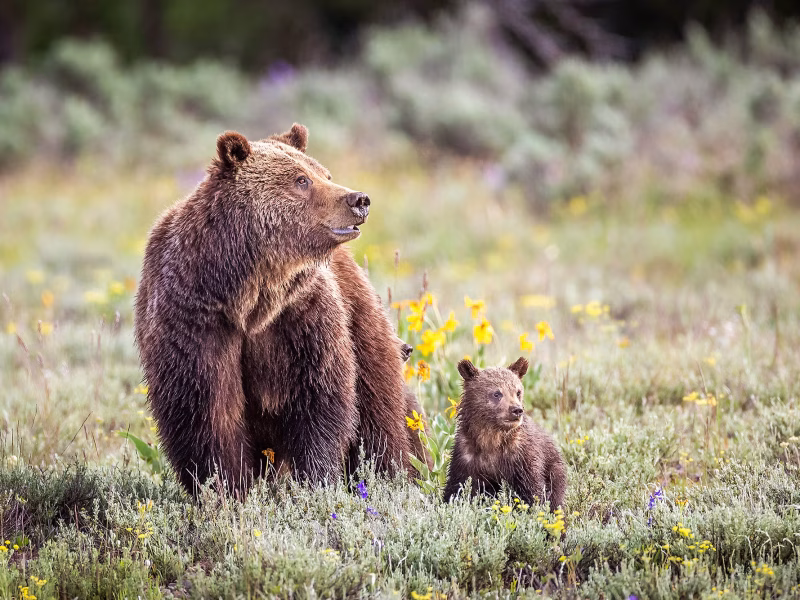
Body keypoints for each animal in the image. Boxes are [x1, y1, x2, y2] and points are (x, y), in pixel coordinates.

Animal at [134, 124, 423, 495]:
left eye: (325, 173)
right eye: (302, 180)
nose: (359, 200)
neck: (248, 298)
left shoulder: (302, 314)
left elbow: (319, 397)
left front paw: (315, 480)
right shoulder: (194, 318)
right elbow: (207, 412)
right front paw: (225, 488)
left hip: (362, 319)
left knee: (380, 409)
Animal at [443, 357, 567, 510]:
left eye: (518, 392)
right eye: (497, 393)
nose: (517, 410)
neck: (492, 440)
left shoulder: (522, 457)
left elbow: (531, 489)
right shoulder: (466, 455)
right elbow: (457, 487)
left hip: (554, 469)